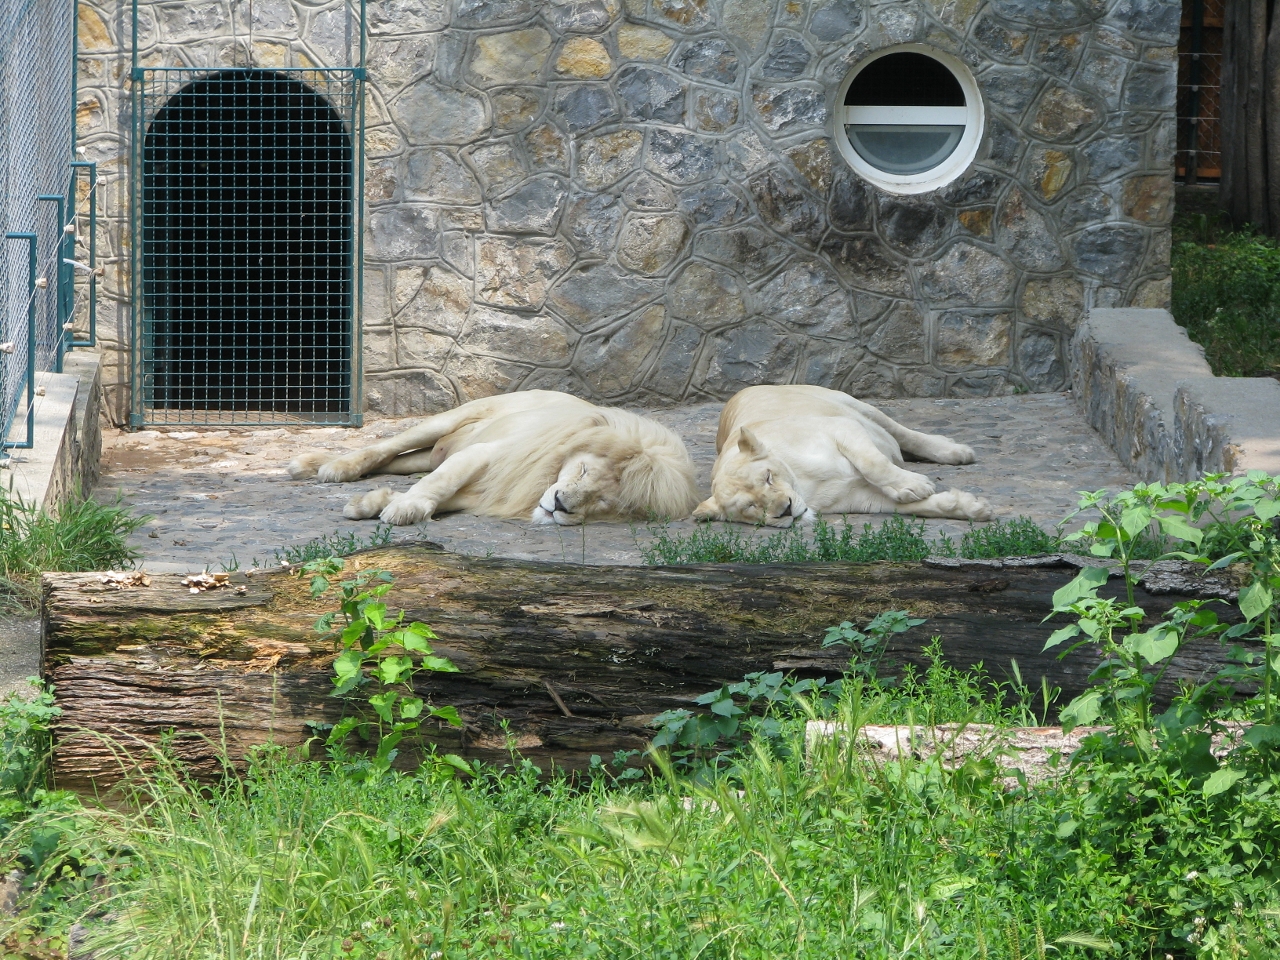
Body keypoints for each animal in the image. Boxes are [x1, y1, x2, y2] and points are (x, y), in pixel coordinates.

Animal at [287, 390, 699, 526]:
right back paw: (327, 467)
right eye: (583, 470)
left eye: (604, 501)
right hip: (448, 421)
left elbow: (439, 494)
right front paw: (402, 509)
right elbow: (440, 484)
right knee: (382, 448)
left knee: (394, 461)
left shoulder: (486, 493)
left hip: (428, 455)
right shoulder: (485, 454)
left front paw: (373, 503)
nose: (560, 505)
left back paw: (315, 465)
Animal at [692, 384, 994, 526]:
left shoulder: (841, 427)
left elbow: (873, 463)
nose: (785, 510)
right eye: (750, 507)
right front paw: (971, 507)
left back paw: (956, 451)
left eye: (768, 477)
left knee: (902, 432)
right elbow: (912, 507)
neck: (804, 484)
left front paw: (915, 485)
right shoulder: (858, 498)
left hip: (849, 402)